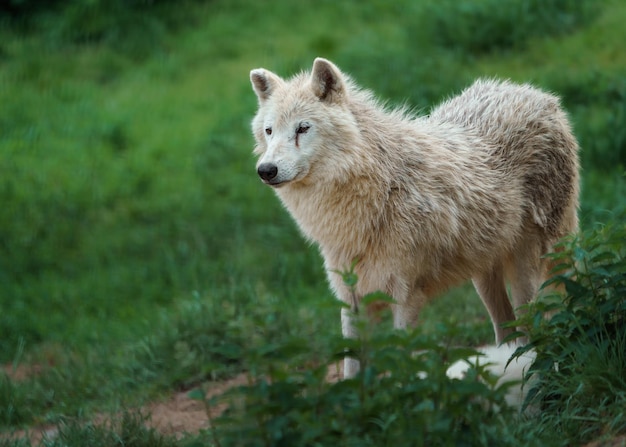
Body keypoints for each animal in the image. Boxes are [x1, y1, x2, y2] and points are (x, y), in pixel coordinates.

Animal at [247, 57, 576, 380]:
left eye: (303, 128)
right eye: (269, 131)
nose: (266, 170)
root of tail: (535, 94)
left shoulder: (406, 299)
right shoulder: (352, 301)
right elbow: (352, 373)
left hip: (526, 274)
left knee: (532, 337)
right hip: (483, 278)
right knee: (508, 337)